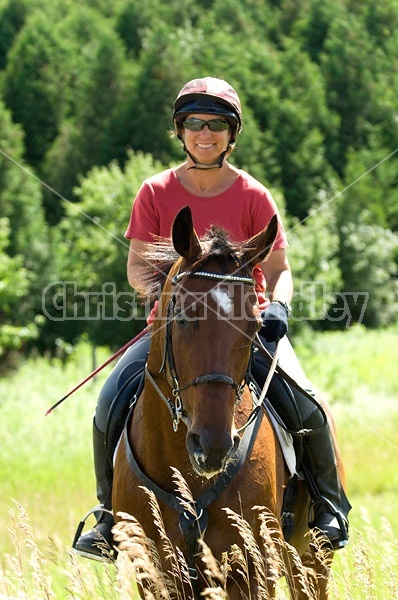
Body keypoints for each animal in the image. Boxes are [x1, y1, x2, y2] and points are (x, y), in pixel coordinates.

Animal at [113, 207, 338, 600]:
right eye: (183, 317)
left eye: (256, 326)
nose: (214, 447)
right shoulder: (152, 577)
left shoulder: (254, 571)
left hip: (311, 559)